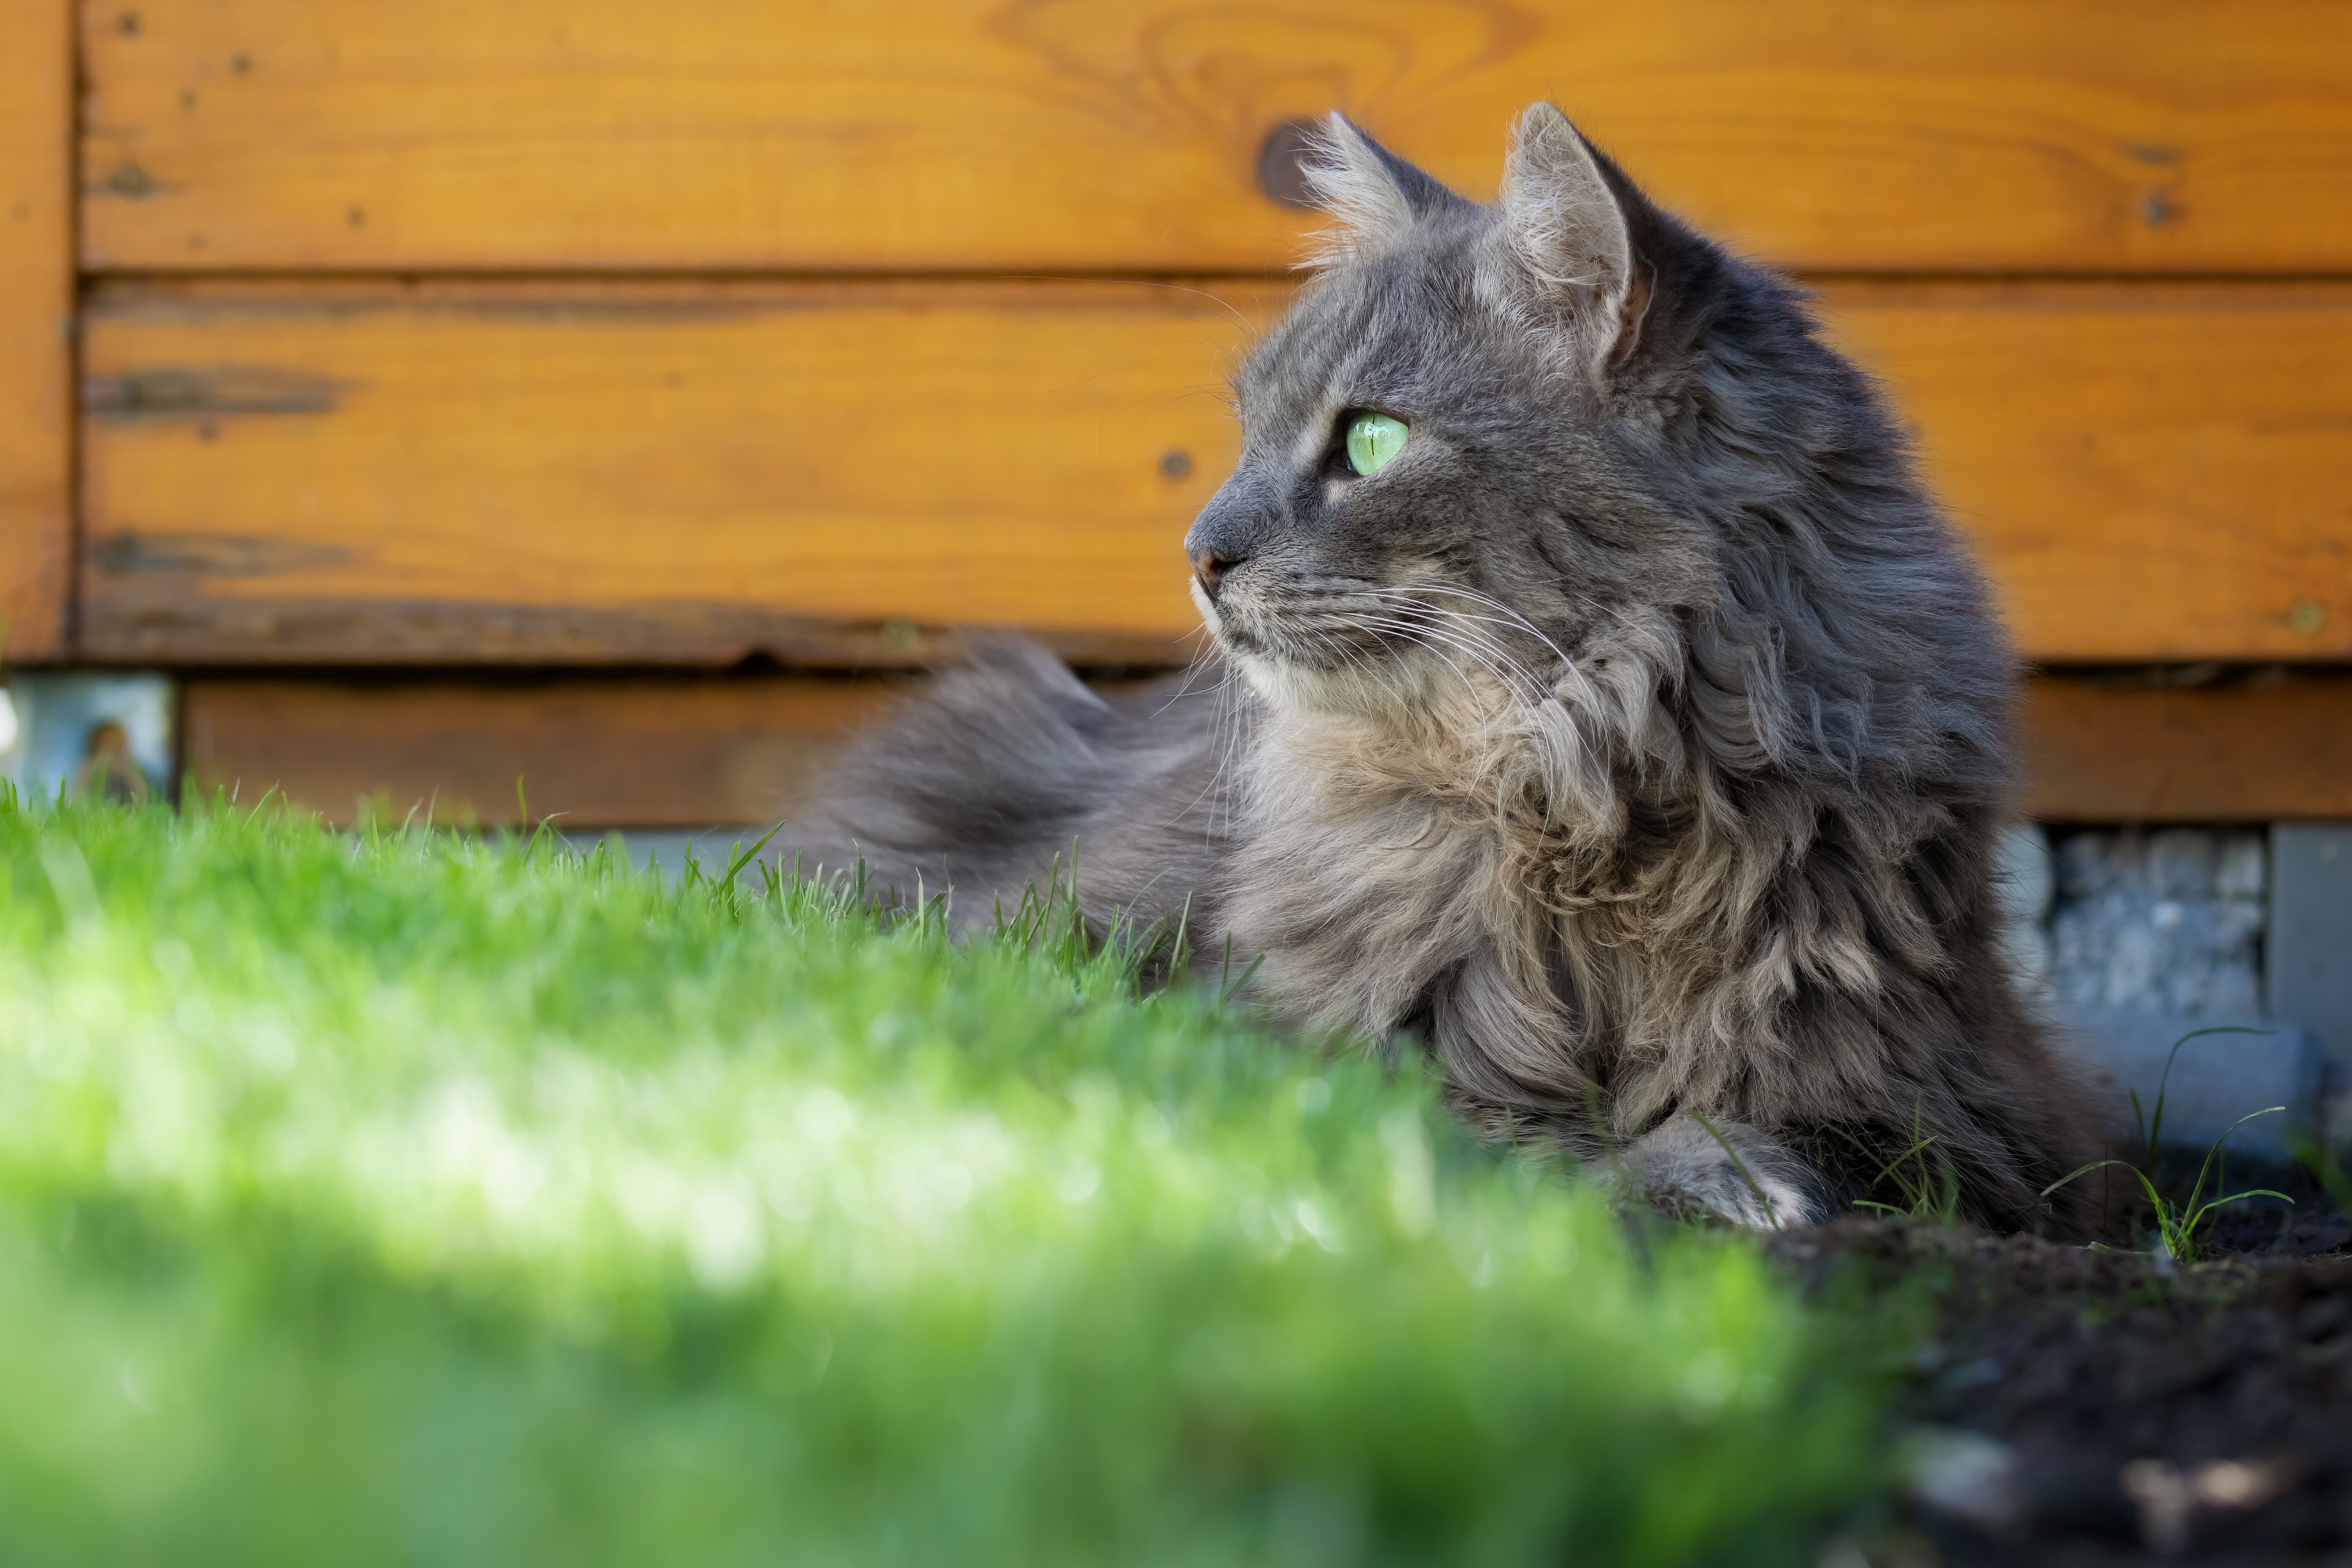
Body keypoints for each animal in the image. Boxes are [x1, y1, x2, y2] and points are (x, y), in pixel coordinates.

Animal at [800, 107, 2107, 1241]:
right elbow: (1498, 1132)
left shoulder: (1965, 1106)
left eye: (1371, 442)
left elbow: (1821, 1133)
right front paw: (1705, 1179)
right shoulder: (1248, 1037)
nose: (1196, 553)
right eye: (1244, 430)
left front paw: (1731, 1169)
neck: (1589, 810)